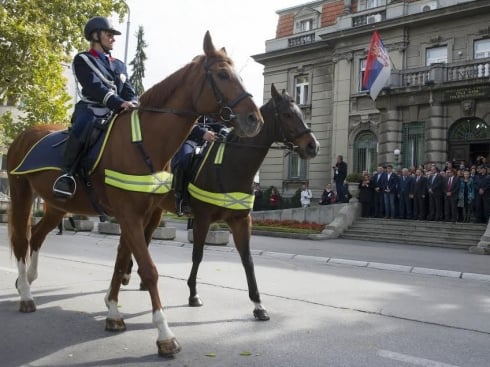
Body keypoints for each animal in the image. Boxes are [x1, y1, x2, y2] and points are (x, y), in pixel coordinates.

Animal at [5, 32, 264, 360]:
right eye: (222, 75)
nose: (254, 120)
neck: (145, 142)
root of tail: (24, 134)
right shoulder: (128, 215)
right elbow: (149, 270)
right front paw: (165, 335)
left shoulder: (140, 214)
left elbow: (122, 261)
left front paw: (114, 312)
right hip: (22, 194)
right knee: (21, 240)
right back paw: (26, 295)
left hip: (56, 205)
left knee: (37, 236)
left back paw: (27, 280)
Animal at [124, 83, 320, 322]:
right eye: (287, 114)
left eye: (300, 112)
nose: (313, 146)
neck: (232, 165)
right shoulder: (202, 219)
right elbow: (197, 255)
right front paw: (193, 294)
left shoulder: (241, 221)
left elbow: (247, 260)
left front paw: (258, 305)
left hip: (156, 211)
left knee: (145, 238)